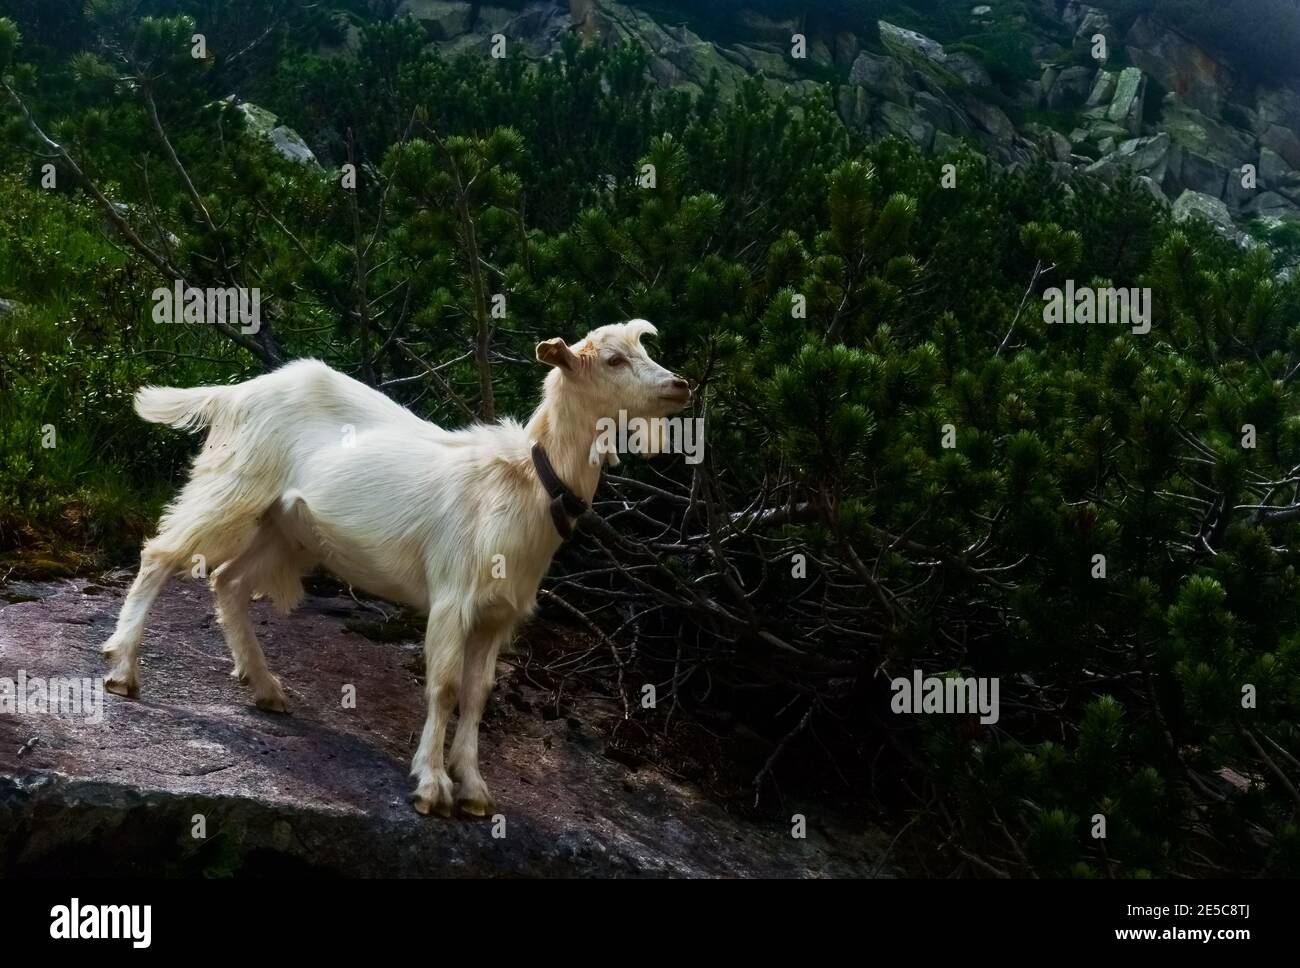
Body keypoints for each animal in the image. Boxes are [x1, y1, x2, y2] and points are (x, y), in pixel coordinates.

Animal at [100, 319, 691, 817]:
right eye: (614, 359)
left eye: (644, 350)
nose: (680, 385)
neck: (526, 482)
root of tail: (234, 393)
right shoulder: (454, 596)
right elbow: (444, 688)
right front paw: (432, 786)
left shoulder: (499, 615)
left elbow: (477, 696)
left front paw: (474, 789)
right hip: (234, 485)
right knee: (161, 554)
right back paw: (122, 669)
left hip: (285, 528)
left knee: (229, 580)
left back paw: (265, 687)